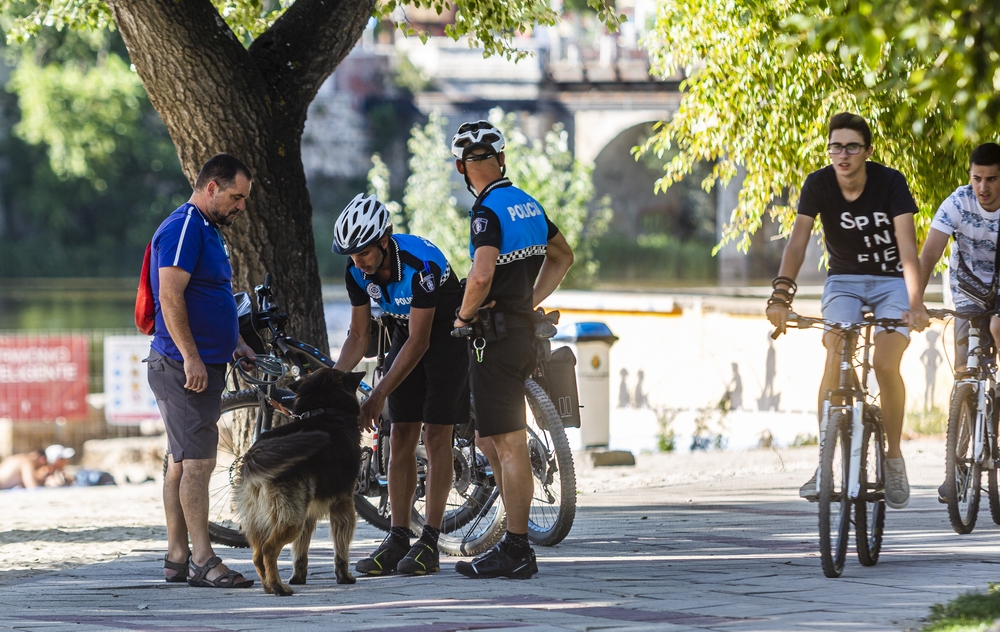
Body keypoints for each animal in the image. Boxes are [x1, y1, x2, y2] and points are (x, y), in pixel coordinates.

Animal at [236, 368, 366, 596]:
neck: (324, 409)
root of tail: (255, 454)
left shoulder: (308, 514)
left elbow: (300, 551)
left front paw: (298, 577)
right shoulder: (343, 505)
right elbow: (341, 549)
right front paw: (344, 577)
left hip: (261, 519)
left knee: (257, 555)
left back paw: (268, 586)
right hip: (291, 518)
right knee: (269, 550)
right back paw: (278, 587)